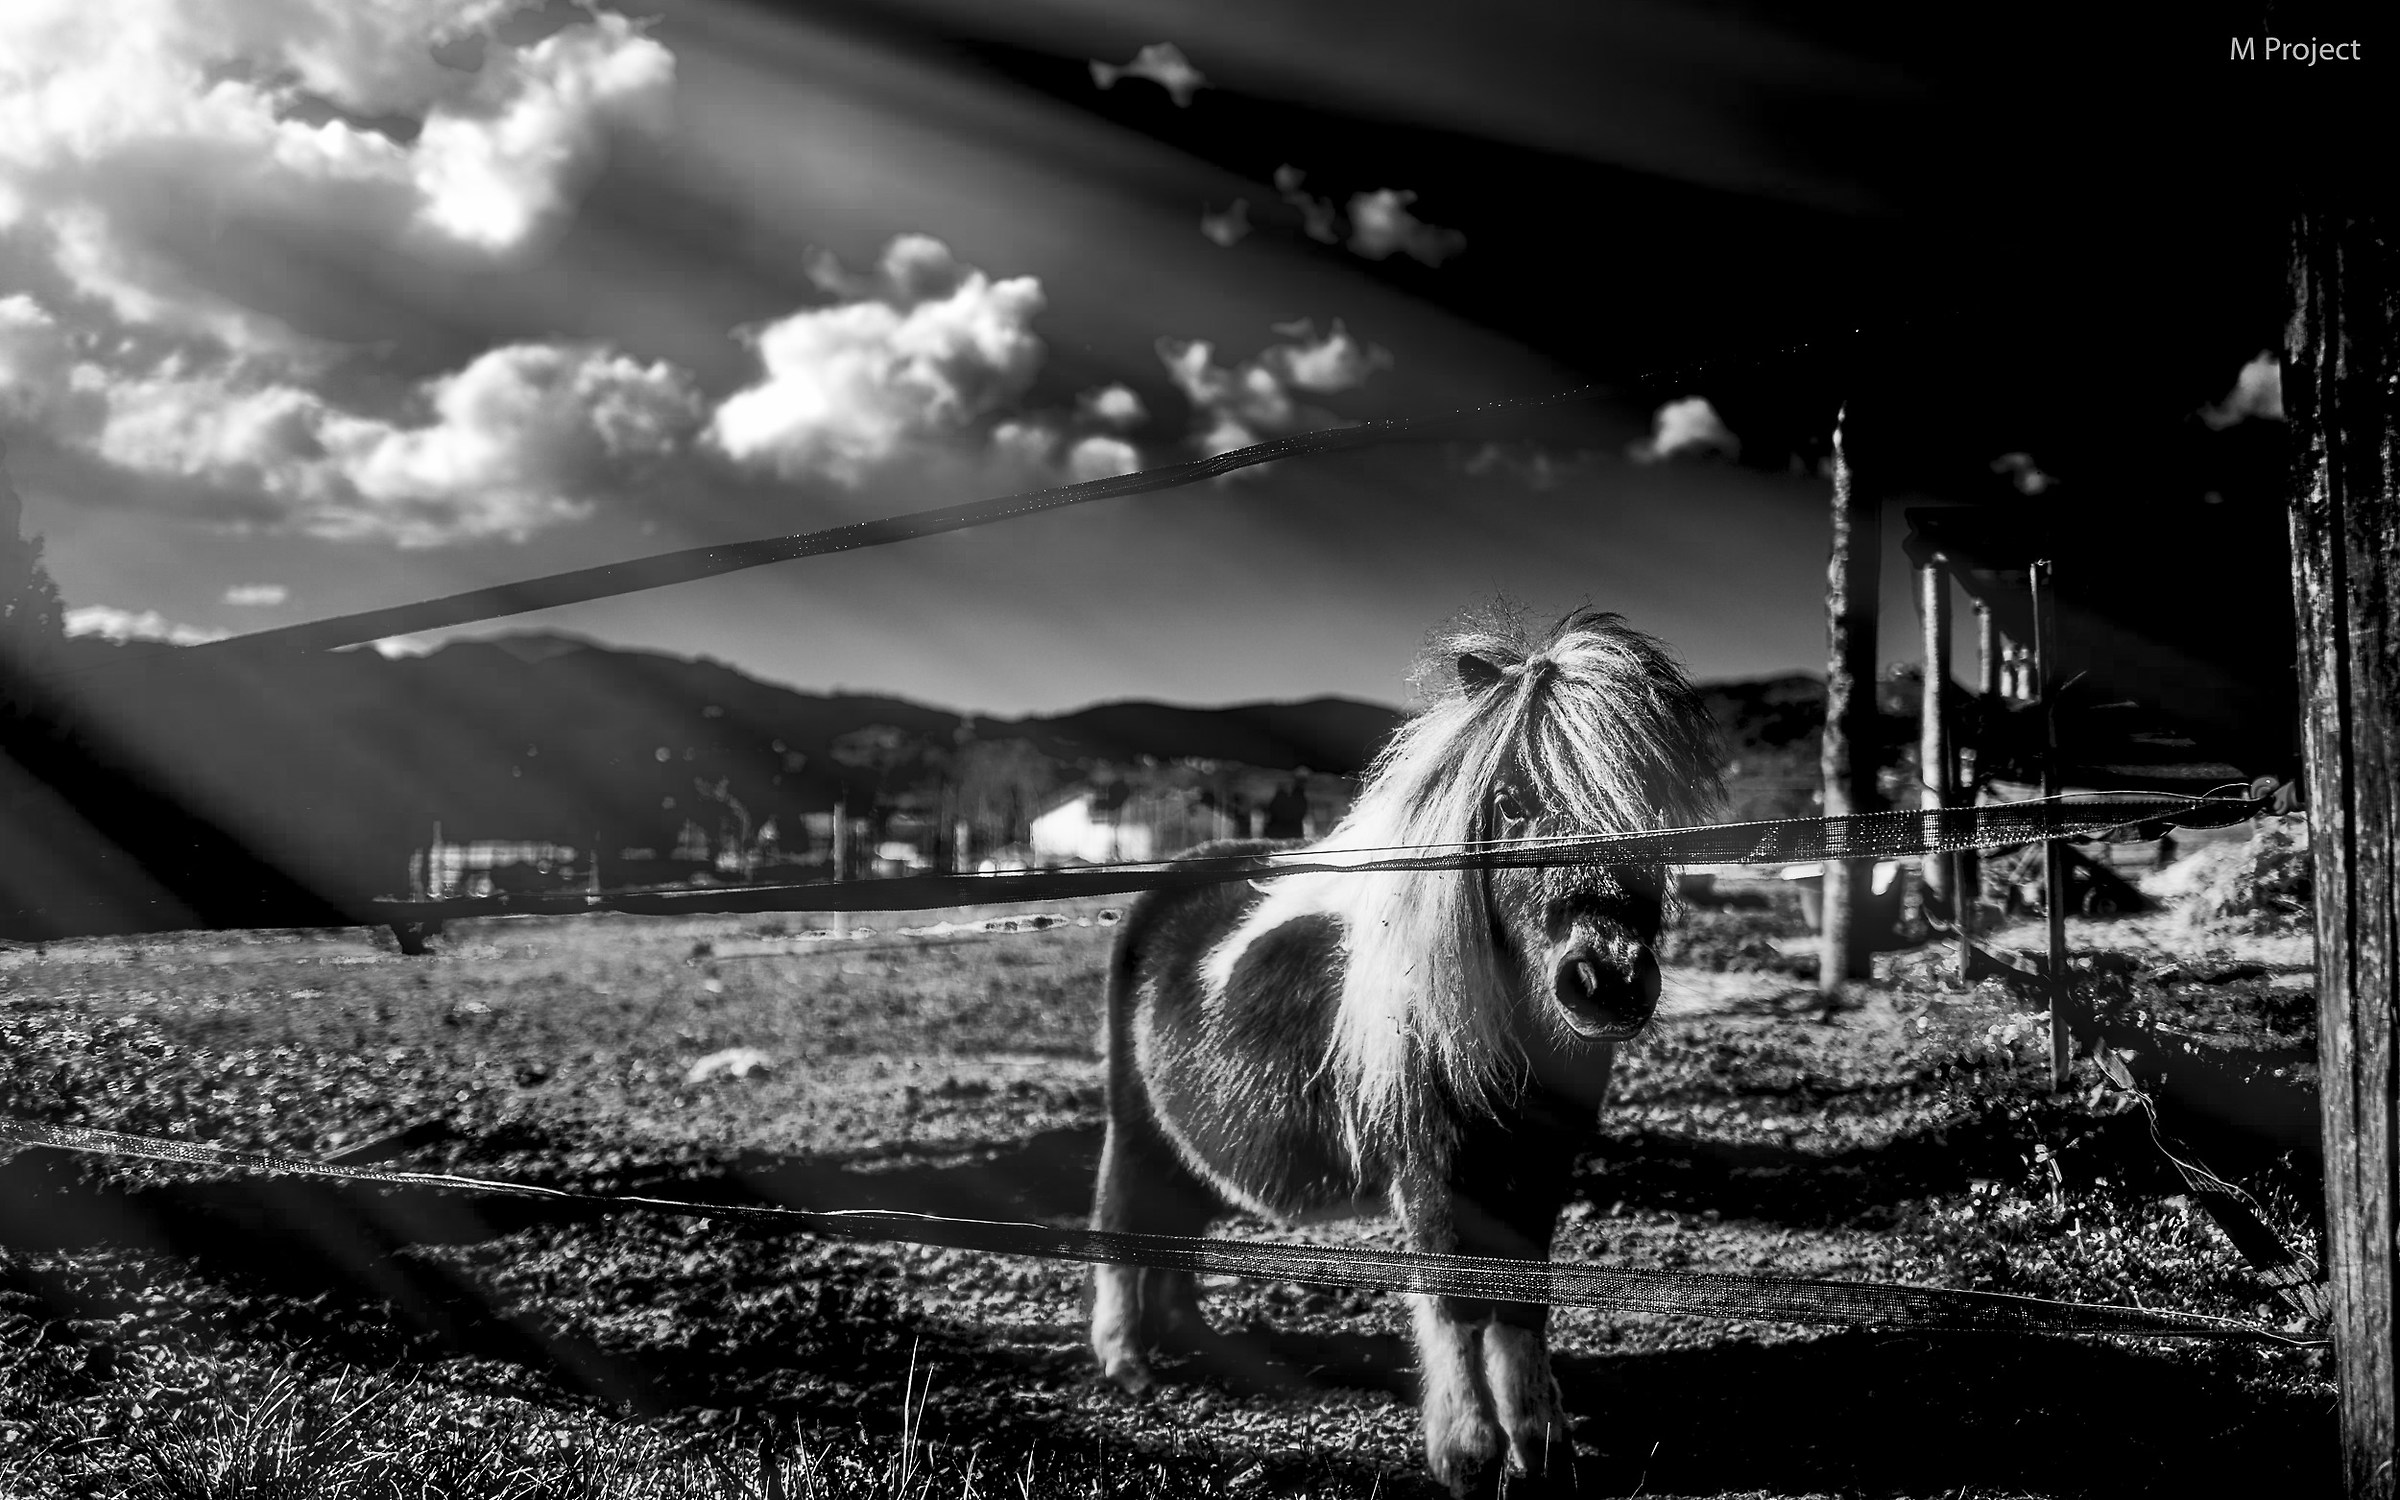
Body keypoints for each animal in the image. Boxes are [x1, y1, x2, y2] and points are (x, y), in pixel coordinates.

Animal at [1088, 608, 1724, 1497]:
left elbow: (1521, 1301)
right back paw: (1127, 1363)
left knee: (1175, 1226)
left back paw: (1187, 1340)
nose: (1606, 981)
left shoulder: (1537, 1170)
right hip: (1136, 1125)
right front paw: (1468, 1455)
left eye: (1654, 807)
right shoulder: (1431, 1169)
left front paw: (1544, 1446)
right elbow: (1453, 1298)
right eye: (1509, 802)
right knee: (1122, 1218)